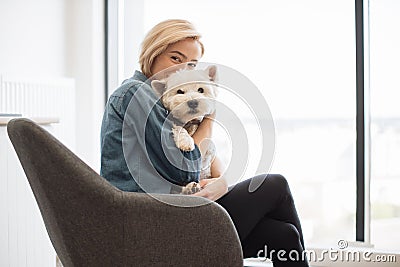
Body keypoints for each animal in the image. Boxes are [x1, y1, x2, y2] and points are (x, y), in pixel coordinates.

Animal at [151, 65, 219, 195]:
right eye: (179, 91)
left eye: (201, 90)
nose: (192, 102)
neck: (189, 121)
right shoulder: (173, 121)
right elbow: (179, 128)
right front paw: (186, 142)